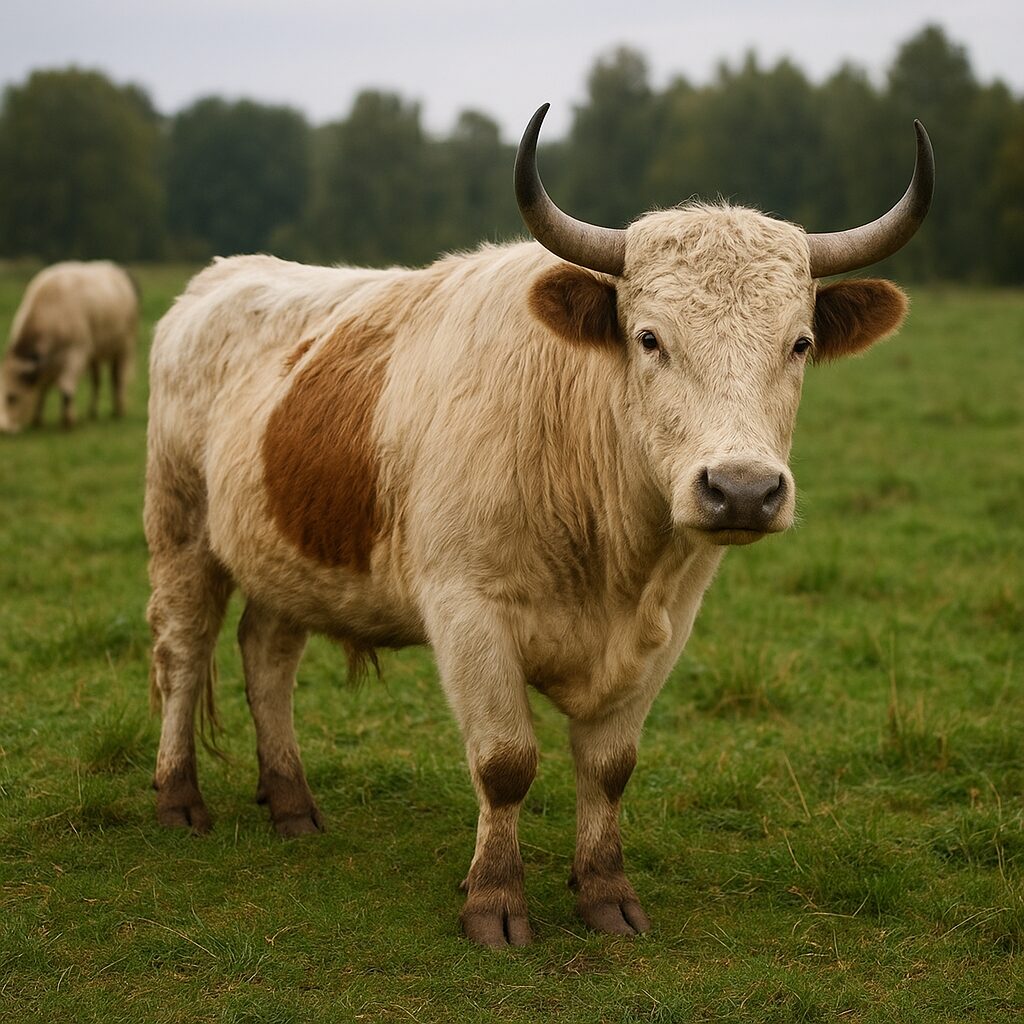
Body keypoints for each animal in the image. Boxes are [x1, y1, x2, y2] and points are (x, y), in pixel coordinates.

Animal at [1, 261, 138, 432]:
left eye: (12, 397)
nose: (3, 428)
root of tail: (116, 268)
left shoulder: (76, 355)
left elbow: (66, 391)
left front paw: (68, 420)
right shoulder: (49, 365)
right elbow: (42, 390)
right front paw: (37, 420)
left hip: (123, 346)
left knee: (117, 379)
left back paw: (118, 410)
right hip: (95, 355)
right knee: (96, 382)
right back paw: (92, 412)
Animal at [145, 105, 933, 947]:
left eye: (800, 342)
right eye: (649, 338)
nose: (744, 491)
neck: (611, 555)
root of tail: (220, 279)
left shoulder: (668, 627)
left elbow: (609, 768)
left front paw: (605, 893)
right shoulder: (469, 615)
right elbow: (505, 763)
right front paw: (494, 902)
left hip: (283, 556)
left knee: (268, 656)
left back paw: (292, 803)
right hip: (181, 528)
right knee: (183, 651)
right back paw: (179, 798)